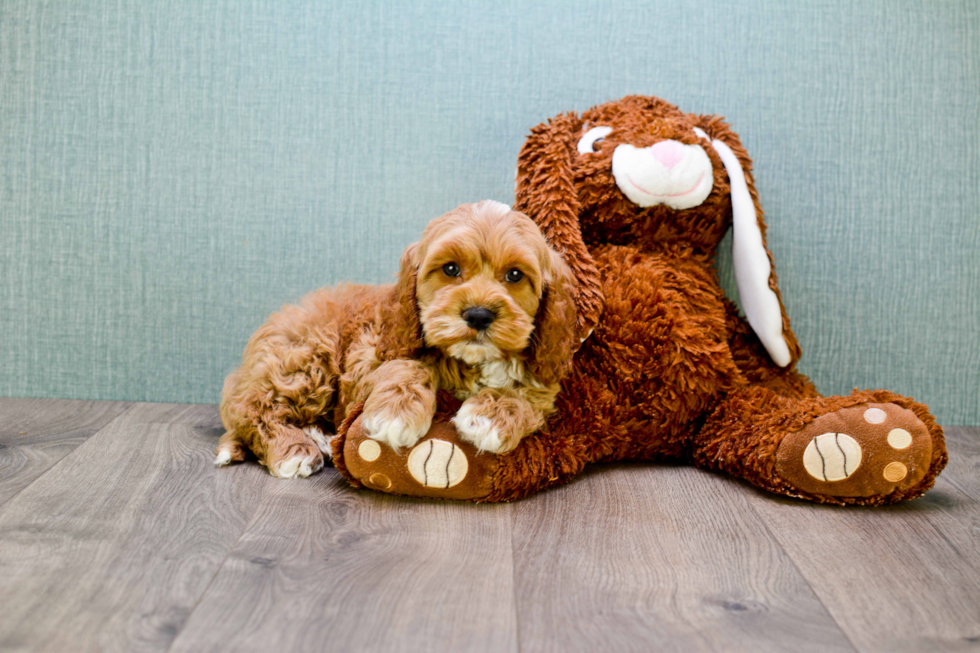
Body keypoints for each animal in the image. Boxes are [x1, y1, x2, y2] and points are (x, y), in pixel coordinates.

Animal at [215, 201, 580, 476]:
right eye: (450, 269)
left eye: (515, 275)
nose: (478, 314)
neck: (471, 362)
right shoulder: (367, 362)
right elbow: (408, 366)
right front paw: (396, 412)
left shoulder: (544, 382)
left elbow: (525, 397)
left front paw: (489, 418)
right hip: (306, 359)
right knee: (253, 409)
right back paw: (295, 449)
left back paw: (317, 438)